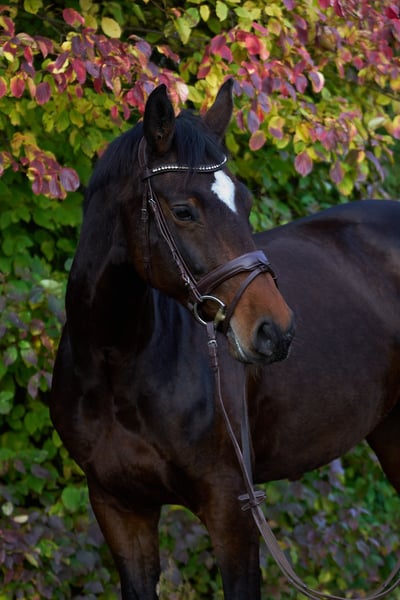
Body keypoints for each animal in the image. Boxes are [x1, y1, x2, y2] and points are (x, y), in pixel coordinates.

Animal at [50, 79, 400, 600]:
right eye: (183, 211)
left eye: (247, 203)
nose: (276, 330)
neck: (117, 360)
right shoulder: (119, 508)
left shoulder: (231, 510)